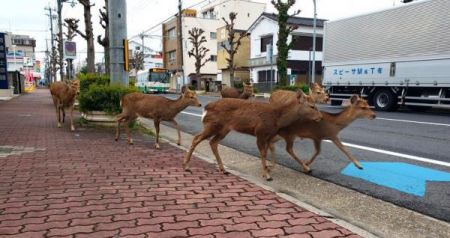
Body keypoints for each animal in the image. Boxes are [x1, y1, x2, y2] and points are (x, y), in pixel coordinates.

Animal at [181, 90, 322, 180]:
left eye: (316, 105)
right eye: (312, 106)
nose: (320, 117)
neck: (277, 118)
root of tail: (205, 108)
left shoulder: (269, 136)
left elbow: (267, 152)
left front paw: (267, 170)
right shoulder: (260, 132)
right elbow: (263, 153)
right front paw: (267, 175)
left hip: (224, 129)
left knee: (212, 142)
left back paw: (223, 169)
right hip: (213, 125)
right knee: (196, 138)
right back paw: (186, 166)